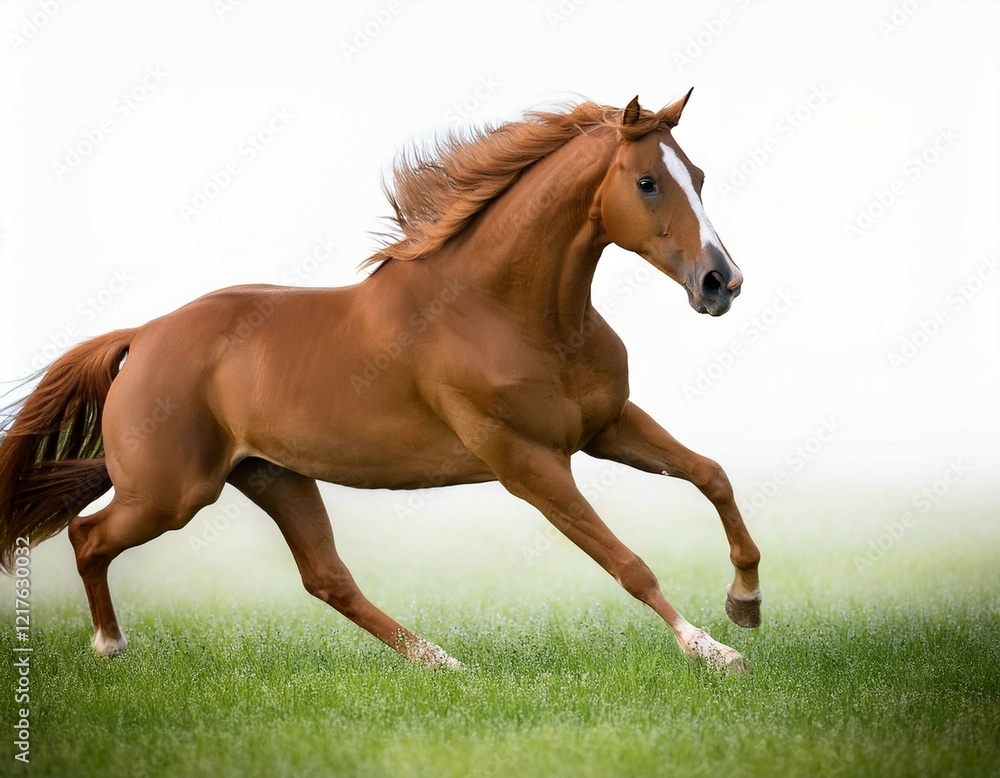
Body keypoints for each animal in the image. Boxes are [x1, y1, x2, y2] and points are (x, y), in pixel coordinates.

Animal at [0, 92, 761, 672]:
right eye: (647, 182)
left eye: (698, 174)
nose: (721, 283)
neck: (507, 311)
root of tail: (144, 334)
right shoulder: (527, 462)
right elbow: (627, 561)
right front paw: (712, 651)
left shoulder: (605, 426)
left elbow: (713, 474)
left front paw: (745, 603)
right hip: (172, 493)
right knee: (88, 536)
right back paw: (110, 646)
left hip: (273, 475)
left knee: (327, 579)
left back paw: (439, 661)